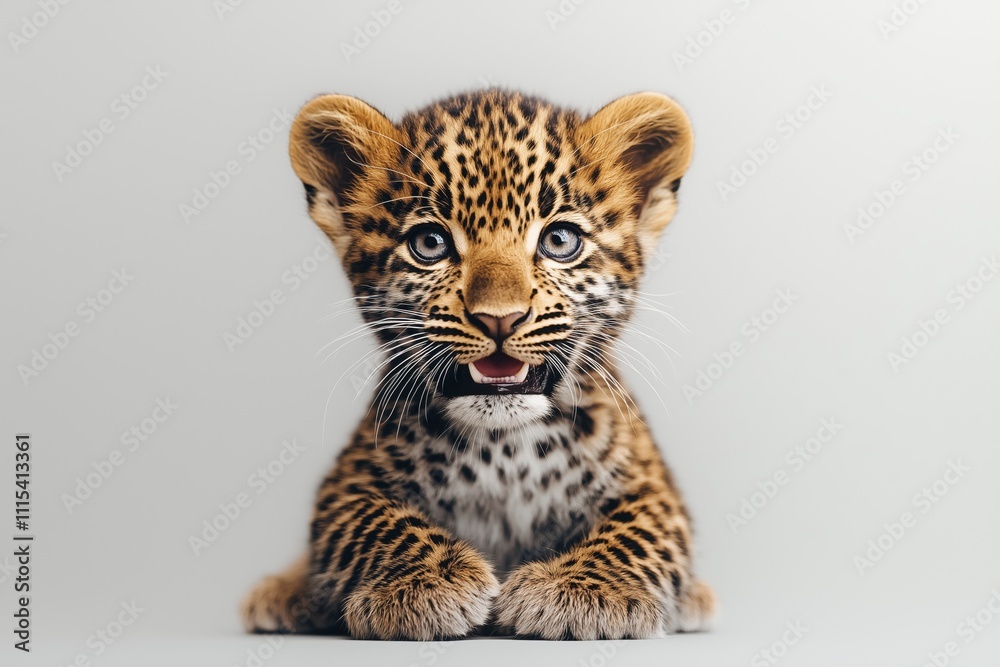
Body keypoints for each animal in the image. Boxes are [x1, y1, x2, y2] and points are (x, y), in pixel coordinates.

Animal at [241, 88, 715, 640]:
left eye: (559, 241)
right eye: (430, 244)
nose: (499, 318)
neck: (505, 450)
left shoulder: (651, 481)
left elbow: (638, 529)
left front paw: (583, 591)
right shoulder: (349, 480)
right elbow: (373, 521)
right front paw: (424, 583)